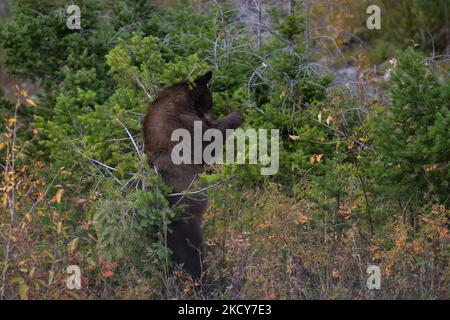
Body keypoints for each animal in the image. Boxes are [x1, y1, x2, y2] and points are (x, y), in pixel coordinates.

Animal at [144, 70, 243, 278]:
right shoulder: (187, 126)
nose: (210, 117)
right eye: (210, 102)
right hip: (187, 221)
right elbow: (208, 141)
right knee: (192, 253)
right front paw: (235, 116)